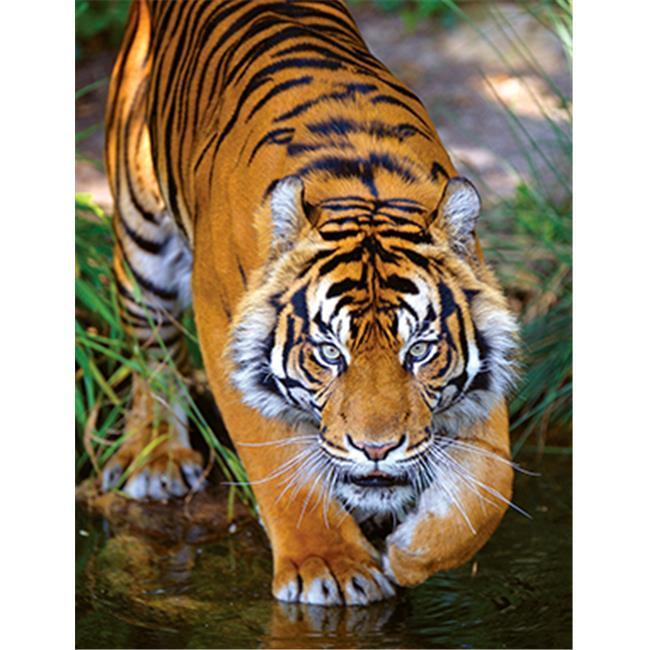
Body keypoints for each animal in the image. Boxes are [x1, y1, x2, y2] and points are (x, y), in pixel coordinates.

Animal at [102, 0, 519, 606]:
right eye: (328, 352)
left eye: (419, 351)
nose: (376, 450)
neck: (362, 185)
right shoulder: (221, 330)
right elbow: (280, 464)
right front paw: (330, 567)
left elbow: (492, 484)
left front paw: (410, 554)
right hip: (142, 236)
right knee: (149, 348)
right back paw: (156, 457)